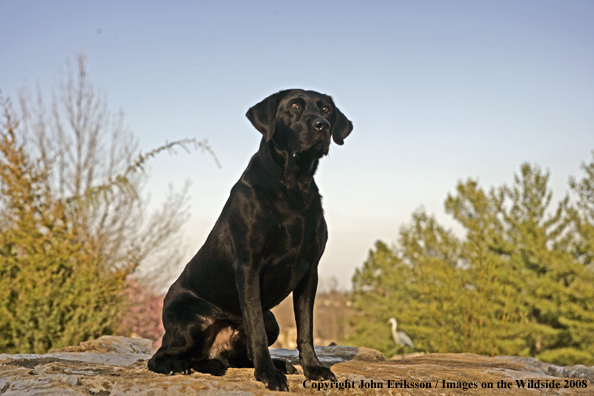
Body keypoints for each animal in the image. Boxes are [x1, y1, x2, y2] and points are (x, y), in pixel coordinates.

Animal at [147, 89, 352, 390]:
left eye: (326, 109)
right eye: (294, 106)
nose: (322, 126)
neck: (293, 185)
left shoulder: (309, 271)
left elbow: (305, 328)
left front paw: (313, 368)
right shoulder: (248, 266)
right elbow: (255, 328)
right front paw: (267, 375)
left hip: (272, 322)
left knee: (237, 357)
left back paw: (277, 363)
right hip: (189, 320)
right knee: (160, 356)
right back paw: (177, 365)